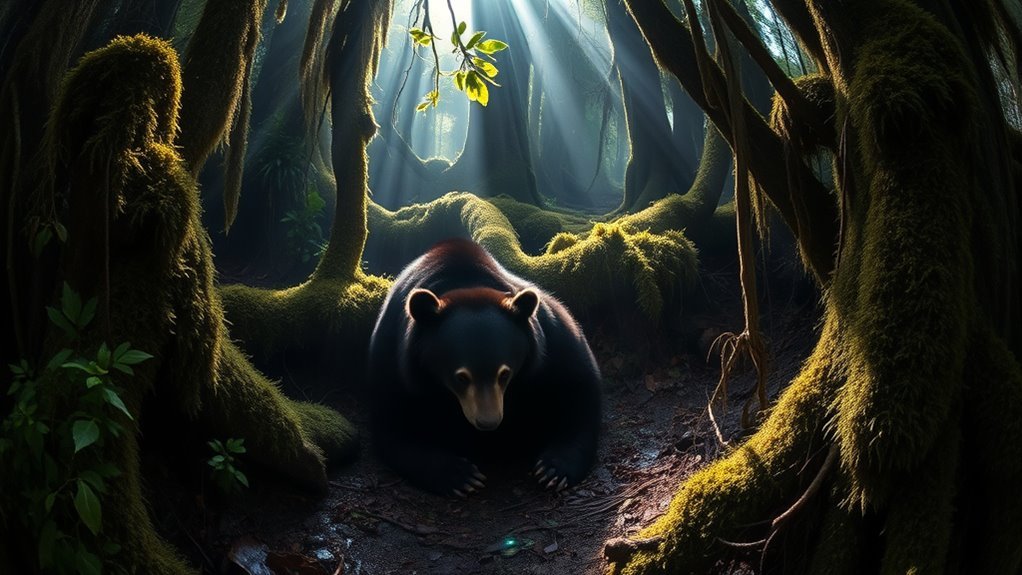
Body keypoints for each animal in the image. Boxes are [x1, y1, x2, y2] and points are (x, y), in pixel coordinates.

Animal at [367, 238, 602, 496]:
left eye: (505, 374)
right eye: (461, 377)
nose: (488, 422)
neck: (464, 282)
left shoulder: (551, 338)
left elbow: (579, 389)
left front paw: (553, 470)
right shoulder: (394, 357)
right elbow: (391, 423)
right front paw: (460, 476)